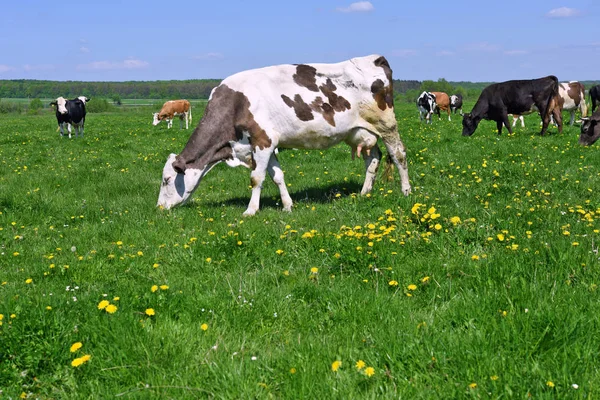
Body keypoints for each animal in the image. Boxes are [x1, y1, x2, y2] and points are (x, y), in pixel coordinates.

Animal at [157, 54, 412, 216]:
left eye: (167, 179)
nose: (159, 208)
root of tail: (375, 58)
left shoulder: (262, 140)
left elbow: (256, 178)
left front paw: (250, 211)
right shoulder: (266, 144)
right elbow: (277, 176)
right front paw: (288, 205)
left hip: (386, 124)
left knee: (398, 154)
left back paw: (406, 191)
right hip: (361, 132)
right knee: (374, 158)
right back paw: (364, 193)